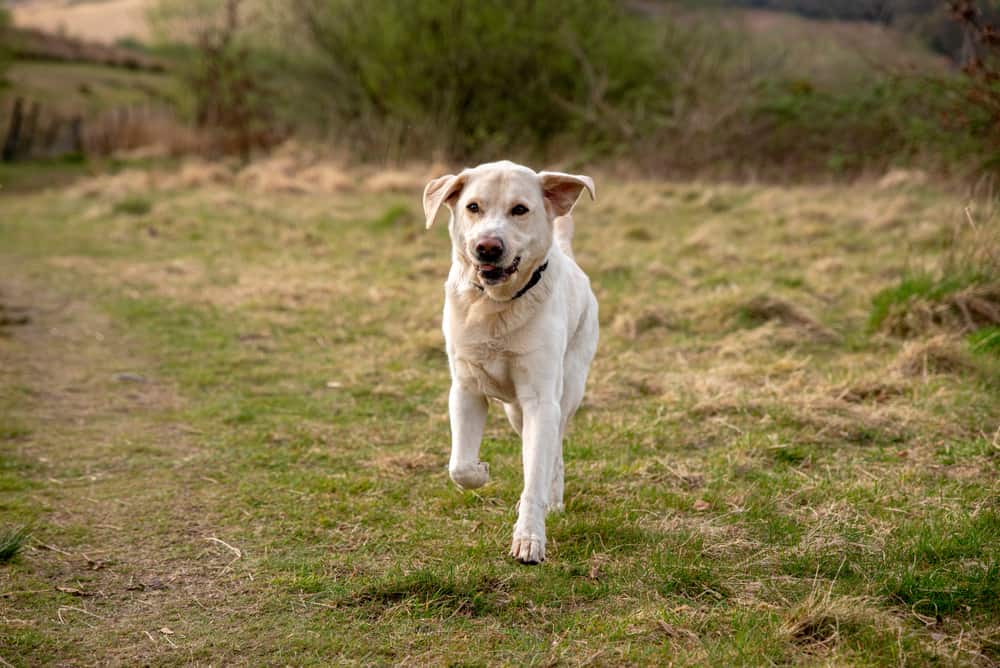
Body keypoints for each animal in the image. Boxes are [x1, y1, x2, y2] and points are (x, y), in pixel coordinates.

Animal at [424, 162, 596, 564]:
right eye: (473, 207)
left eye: (520, 209)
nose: (487, 247)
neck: (496, 304)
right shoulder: (465, 390)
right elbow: (459, 466)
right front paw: (480, 471)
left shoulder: (541, 401)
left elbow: (534, 478)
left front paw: (529, 539)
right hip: (515, 413)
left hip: (565, 393)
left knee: (554, 452)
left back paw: (553, 500)